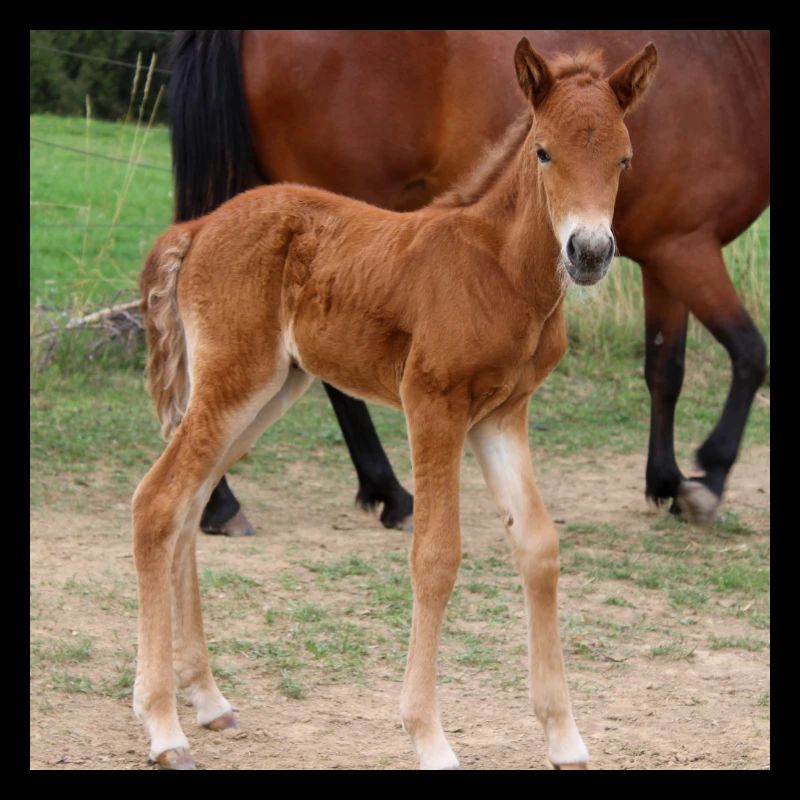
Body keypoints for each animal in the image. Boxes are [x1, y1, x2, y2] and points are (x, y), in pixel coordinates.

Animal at [133, 39, 658, 769]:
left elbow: (539, 548)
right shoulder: (432, 402)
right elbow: (435, 555)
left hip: (269, 390)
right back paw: (162, 726)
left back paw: (208, 700)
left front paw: (564, 736)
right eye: (544, 152)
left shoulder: (501, 415)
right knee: (157, 501)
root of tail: (200, 225)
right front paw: (428, 737)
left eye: (624, 158)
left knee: (188, 506)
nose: (589, 252)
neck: (498, 268)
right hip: (235, 380)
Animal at [168, 30, 769, 535]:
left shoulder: (664, 255)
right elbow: (750, 353)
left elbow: (665, 367)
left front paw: (666, 480)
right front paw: (708, 479)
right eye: (543, 152)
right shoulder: (688, 248)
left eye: (625, 160)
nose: (590, 253)